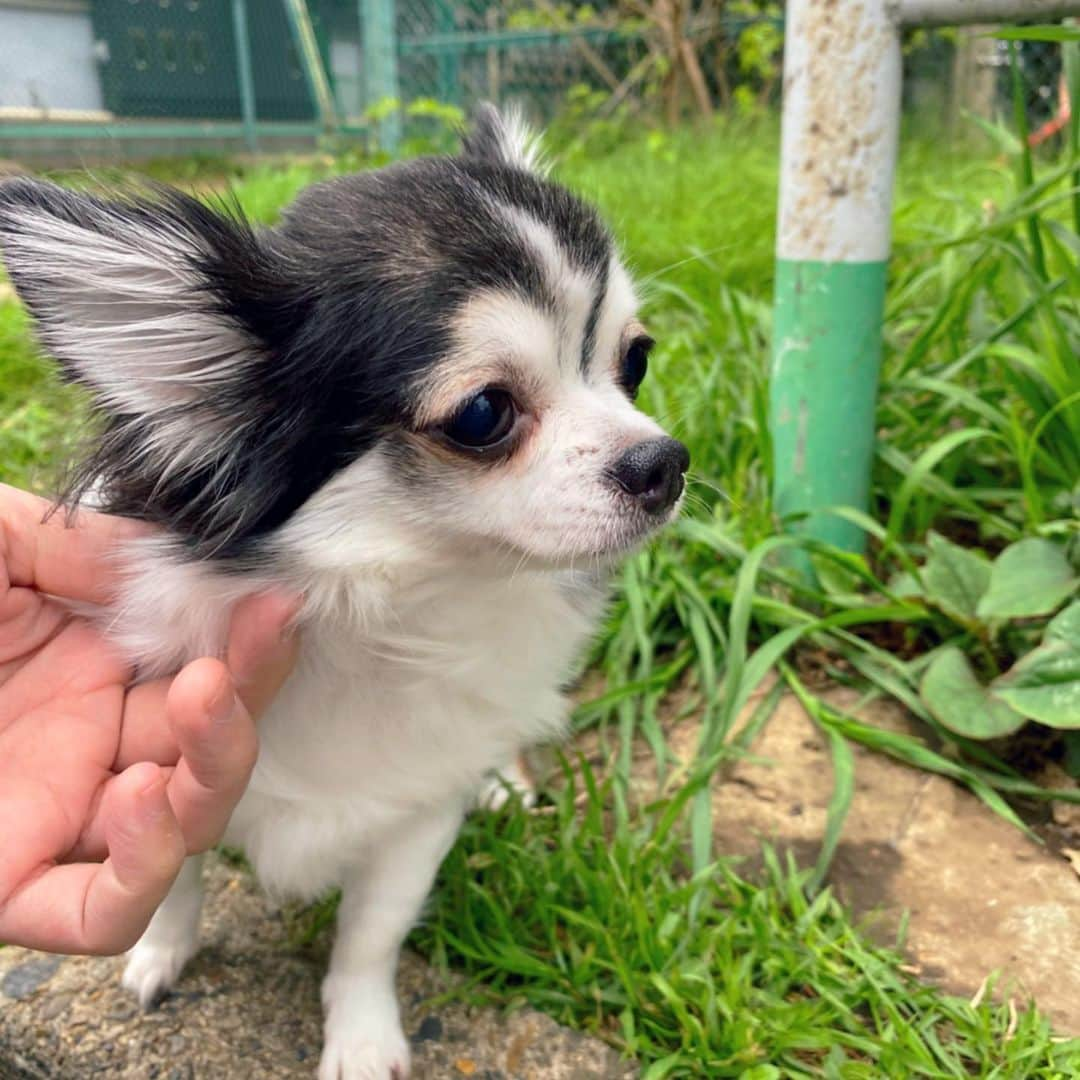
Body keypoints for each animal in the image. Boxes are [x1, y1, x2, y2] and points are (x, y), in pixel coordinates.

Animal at [0, 103, 691, 1080]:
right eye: (484, 414)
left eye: (635, 363)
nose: (665, 460)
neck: (387, 605)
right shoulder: (167, 772)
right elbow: (173, 876)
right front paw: (159, 954)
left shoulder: (414, 815)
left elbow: (371, 932)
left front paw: (362, 1037)